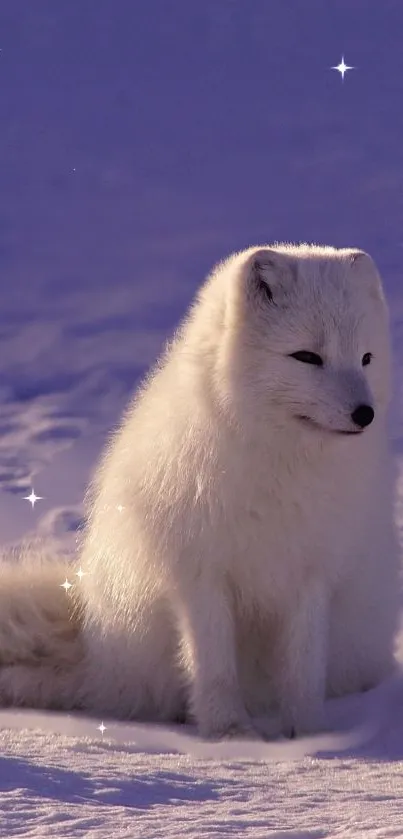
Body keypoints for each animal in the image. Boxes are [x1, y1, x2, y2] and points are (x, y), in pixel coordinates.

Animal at [0, 244, 400, 740]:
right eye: (307, 356)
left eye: (366, 358)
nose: (364, 414)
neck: (281, 465)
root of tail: (95, 653)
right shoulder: (198, 573)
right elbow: (213, 665)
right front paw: (230, 734)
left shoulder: (311, 574)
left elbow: (303, 667)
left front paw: (305, 734)